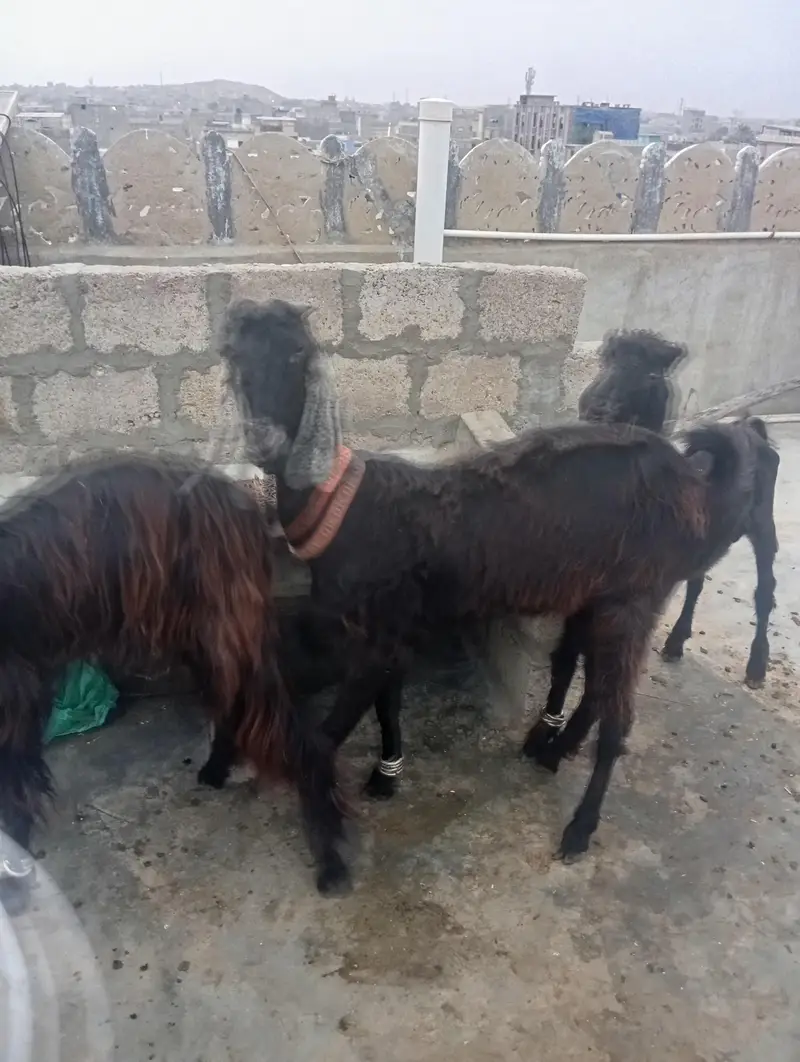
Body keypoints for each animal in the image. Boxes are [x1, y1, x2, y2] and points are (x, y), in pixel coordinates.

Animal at [0, 454, 349, 911]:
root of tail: (243, 505)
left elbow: (15, 802)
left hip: (227, 633)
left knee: (297, 737)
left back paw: (331, 854)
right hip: (201, 638)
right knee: (234, 706)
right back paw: (217, 766)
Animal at [221, 298, 751, 863]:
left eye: (299, 353)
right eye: (231, 356)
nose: (263, 440)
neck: (346, 508)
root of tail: (689, 483)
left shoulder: (376, 633)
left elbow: (327, 733)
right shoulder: (392, 626)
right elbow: (387, 701)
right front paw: (386, 776)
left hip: (637, 595)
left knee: (617, 722)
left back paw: (578, 829)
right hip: (603, 594)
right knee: (597, 688)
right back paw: (552, 753)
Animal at [578, 330, 779, 687]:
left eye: (651, 375)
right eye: (605, 361)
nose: (595, 407)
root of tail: (751, 428)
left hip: (763, 522)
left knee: (765, 587)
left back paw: (756, 667)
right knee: (697, 583)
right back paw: (675, 642)